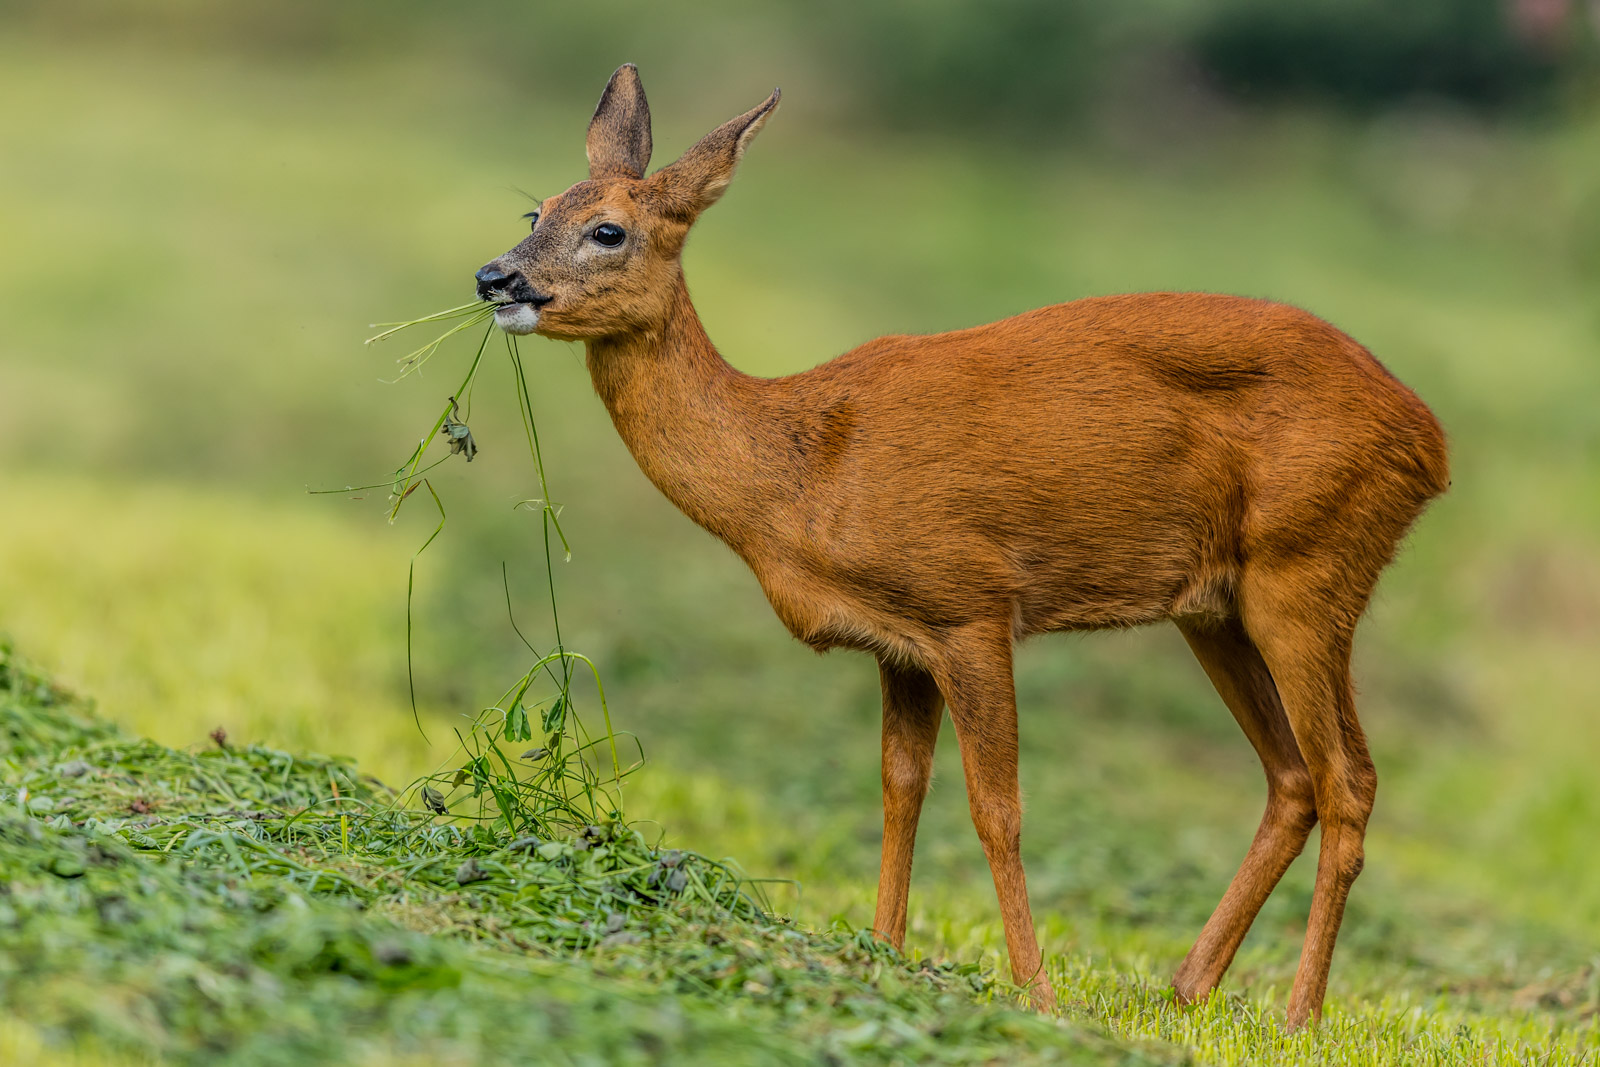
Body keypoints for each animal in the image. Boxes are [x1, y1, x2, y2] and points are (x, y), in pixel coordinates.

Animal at [470, 64, 1452, 1023]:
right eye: (535, 212)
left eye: (607, 230)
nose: (495, 277)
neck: (802, 469)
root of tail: (1429, 439)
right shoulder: (898, 643)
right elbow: (900, 787)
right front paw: (884, 948)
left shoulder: (970, 604)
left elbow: (997, 807)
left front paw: (1037, 991)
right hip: (1215, 606)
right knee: (1291, 776)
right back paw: (1187, 986)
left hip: (1311, 562)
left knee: (1348, 777)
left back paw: (1298, 1013)